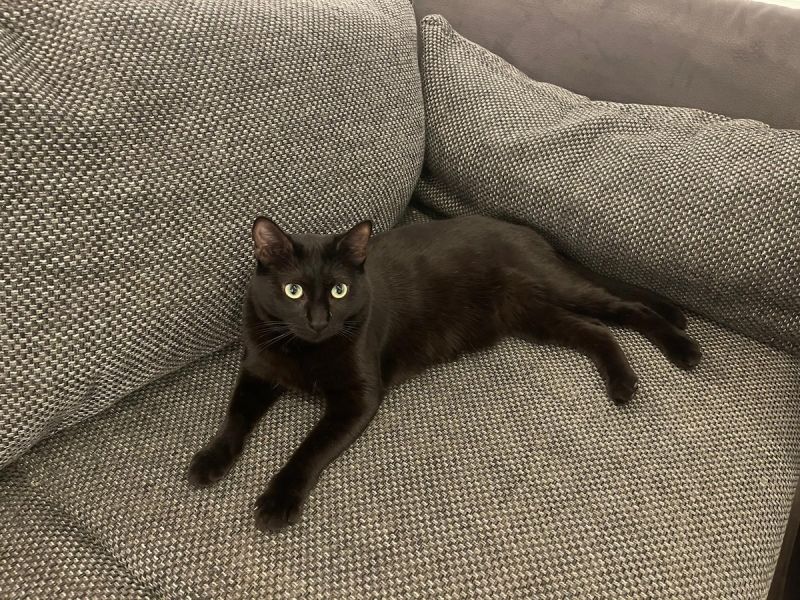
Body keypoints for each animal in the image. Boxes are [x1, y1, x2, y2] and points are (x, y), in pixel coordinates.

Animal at [188, 214, 701, 531]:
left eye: (338, 291)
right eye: (292, 291)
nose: (318, 320)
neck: (304, 351)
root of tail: (531, 233)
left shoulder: (359, 395)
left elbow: (309, 448)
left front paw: (279, 500)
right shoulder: (257, 369)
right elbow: (235, 417)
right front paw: (210, 460)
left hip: (556, 290)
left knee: (625, 310)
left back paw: (681, 349)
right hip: (534, 315)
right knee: (596, 332)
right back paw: (621, 381)